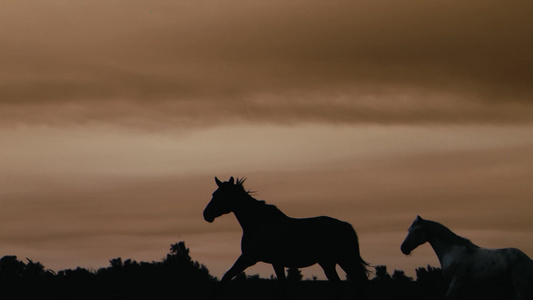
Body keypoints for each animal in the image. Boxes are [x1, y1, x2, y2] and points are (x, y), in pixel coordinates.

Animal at [202, 176, 368, 298]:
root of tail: (345, 225)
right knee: (342, 285)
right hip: (329, 262)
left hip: (344, 259)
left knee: (358, 283)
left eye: (219, 195)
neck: (259, 222)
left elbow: (227, 276)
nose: (206, 214)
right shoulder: (276, 262)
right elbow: (282, 287)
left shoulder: (249, 258)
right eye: (213, 194)